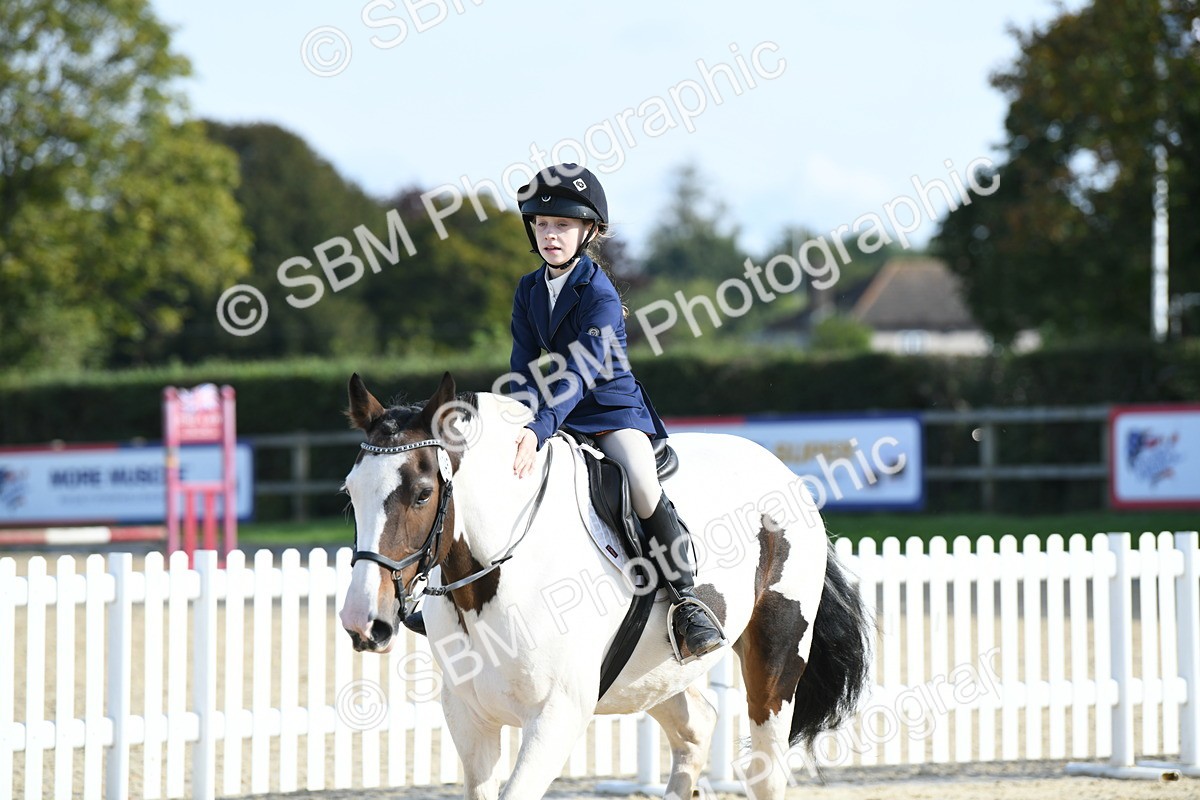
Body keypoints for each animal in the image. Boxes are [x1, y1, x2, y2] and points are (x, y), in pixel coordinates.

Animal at [338, 372, 871, 800]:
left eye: (423, 494)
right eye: (350, 492)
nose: (363, 623)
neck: (493, 581)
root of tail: (784, 472)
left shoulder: (555, 717)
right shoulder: (470, 718)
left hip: (775, 657)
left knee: (765, 769)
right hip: (652, 675)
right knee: (697, 729)